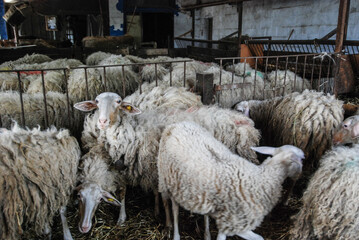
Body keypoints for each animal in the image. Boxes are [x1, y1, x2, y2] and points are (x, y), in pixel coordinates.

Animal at [159, 122, 306, 240]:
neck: (263, 179)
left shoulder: (230, 220)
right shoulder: (235, 222)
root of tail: (176, 124)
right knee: (174, 208)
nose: (300, 174)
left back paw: (207, 234)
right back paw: (176, 235)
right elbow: (259, 238)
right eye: (301, 159)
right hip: (168, 180)